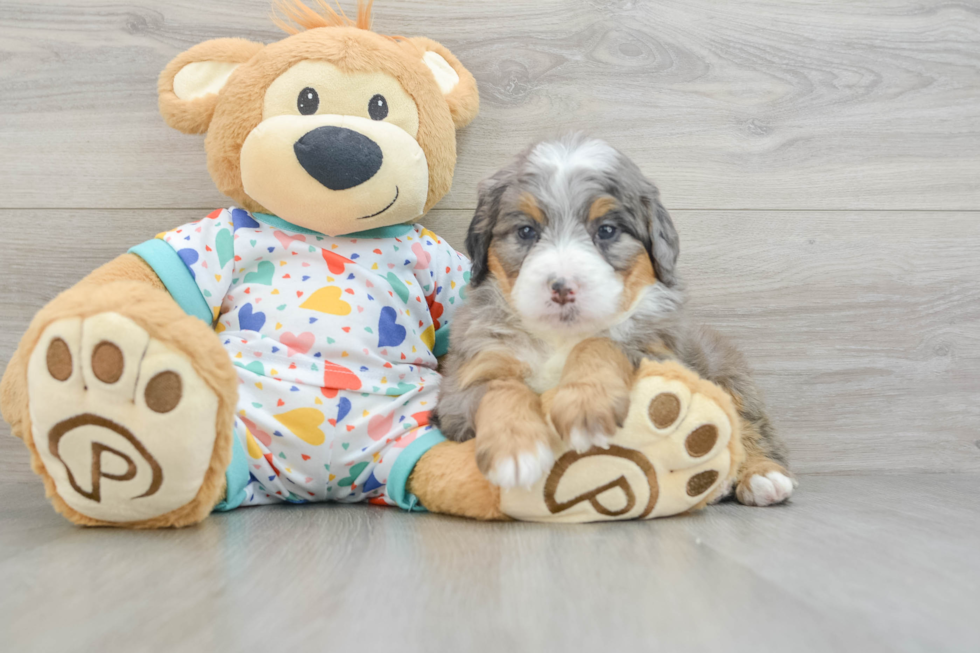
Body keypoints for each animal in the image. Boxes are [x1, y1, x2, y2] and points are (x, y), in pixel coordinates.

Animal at [432, 135, 792, 506]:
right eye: (526, 231)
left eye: (606, 230)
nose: (563, 287)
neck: (561, 338)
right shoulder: (468, 376)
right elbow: (499, 389)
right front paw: (515, 451)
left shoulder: (659, 353)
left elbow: (601, 344)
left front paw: (585, 408)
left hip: (728, 375)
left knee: (750, 427)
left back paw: (761, 476)